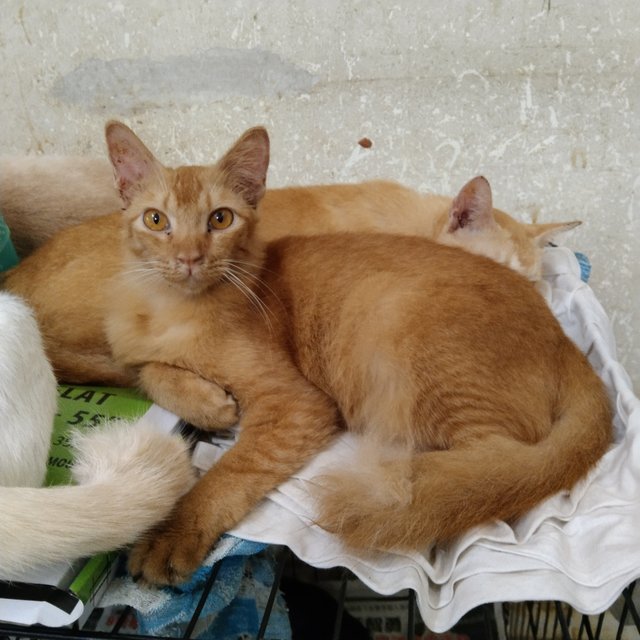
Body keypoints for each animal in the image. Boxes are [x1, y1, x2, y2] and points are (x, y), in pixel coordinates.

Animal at [27, 120, 608, 584]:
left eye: (219, 219)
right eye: (156, 220)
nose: (189, 257)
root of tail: (568, 348)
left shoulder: (296, 403)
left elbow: (229, 472)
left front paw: (174, 533)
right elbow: (144, 368)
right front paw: (208, 403)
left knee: (492, 469)